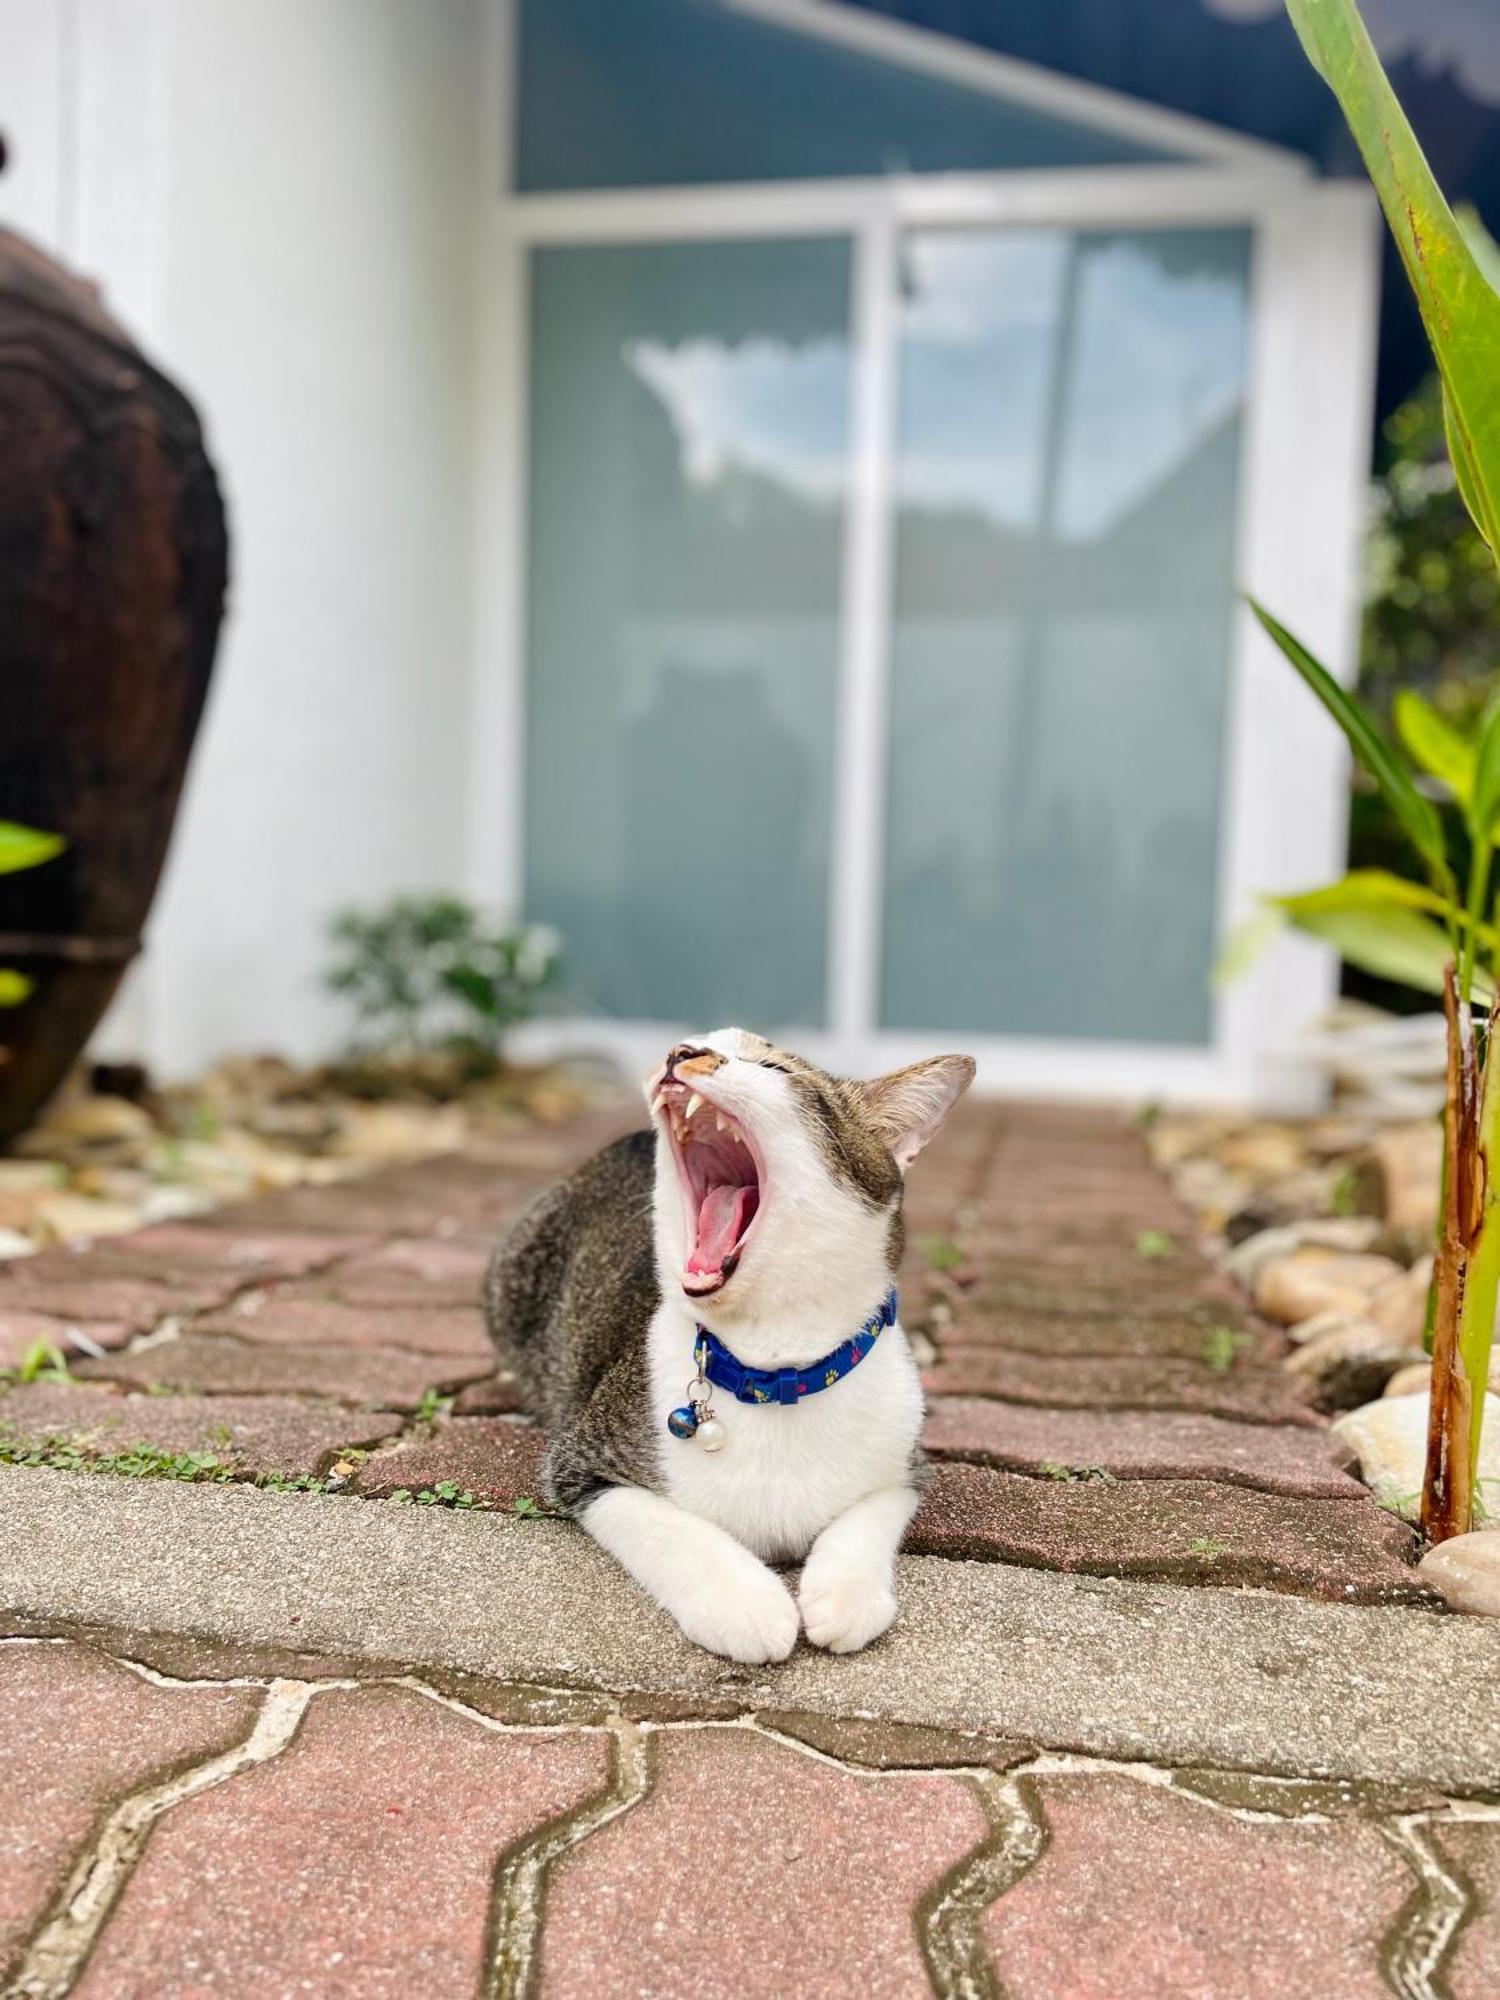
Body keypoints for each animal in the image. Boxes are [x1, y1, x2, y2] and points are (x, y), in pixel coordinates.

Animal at [482, 1032, 976, 1656]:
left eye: (774, 1067)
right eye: (701, 1042)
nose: (681, 1051)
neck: (775, 1366)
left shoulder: (905, 1469)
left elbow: (870, 1515)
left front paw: (845, 1595)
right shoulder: (582, 1463)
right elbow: (668, 1528)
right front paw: (744, 1601)